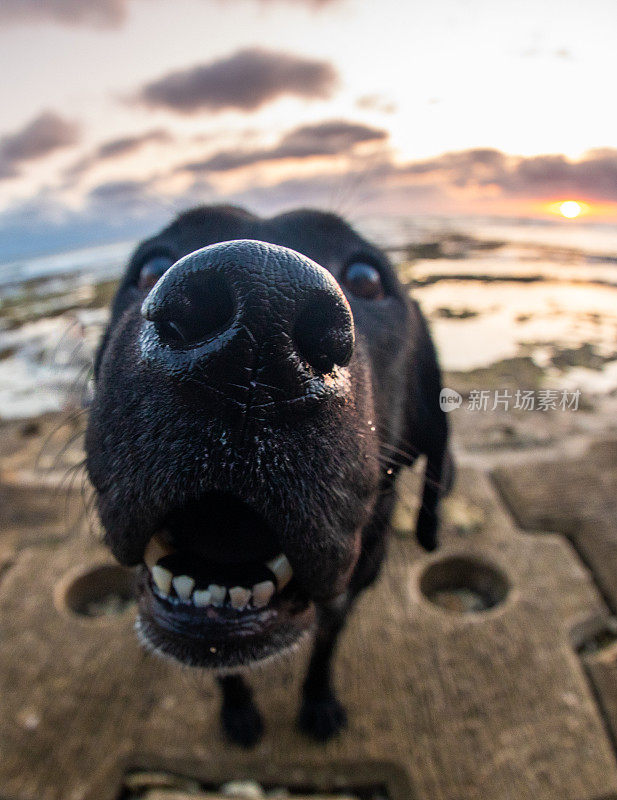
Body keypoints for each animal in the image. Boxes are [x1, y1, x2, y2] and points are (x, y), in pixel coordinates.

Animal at [85, 205, 452, 744]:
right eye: (151, 266)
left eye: (367, 278)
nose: (260, 314)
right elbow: (226, 670)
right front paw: (238, 711)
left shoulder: (346, 598)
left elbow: (324, 650)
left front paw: (319, 703)